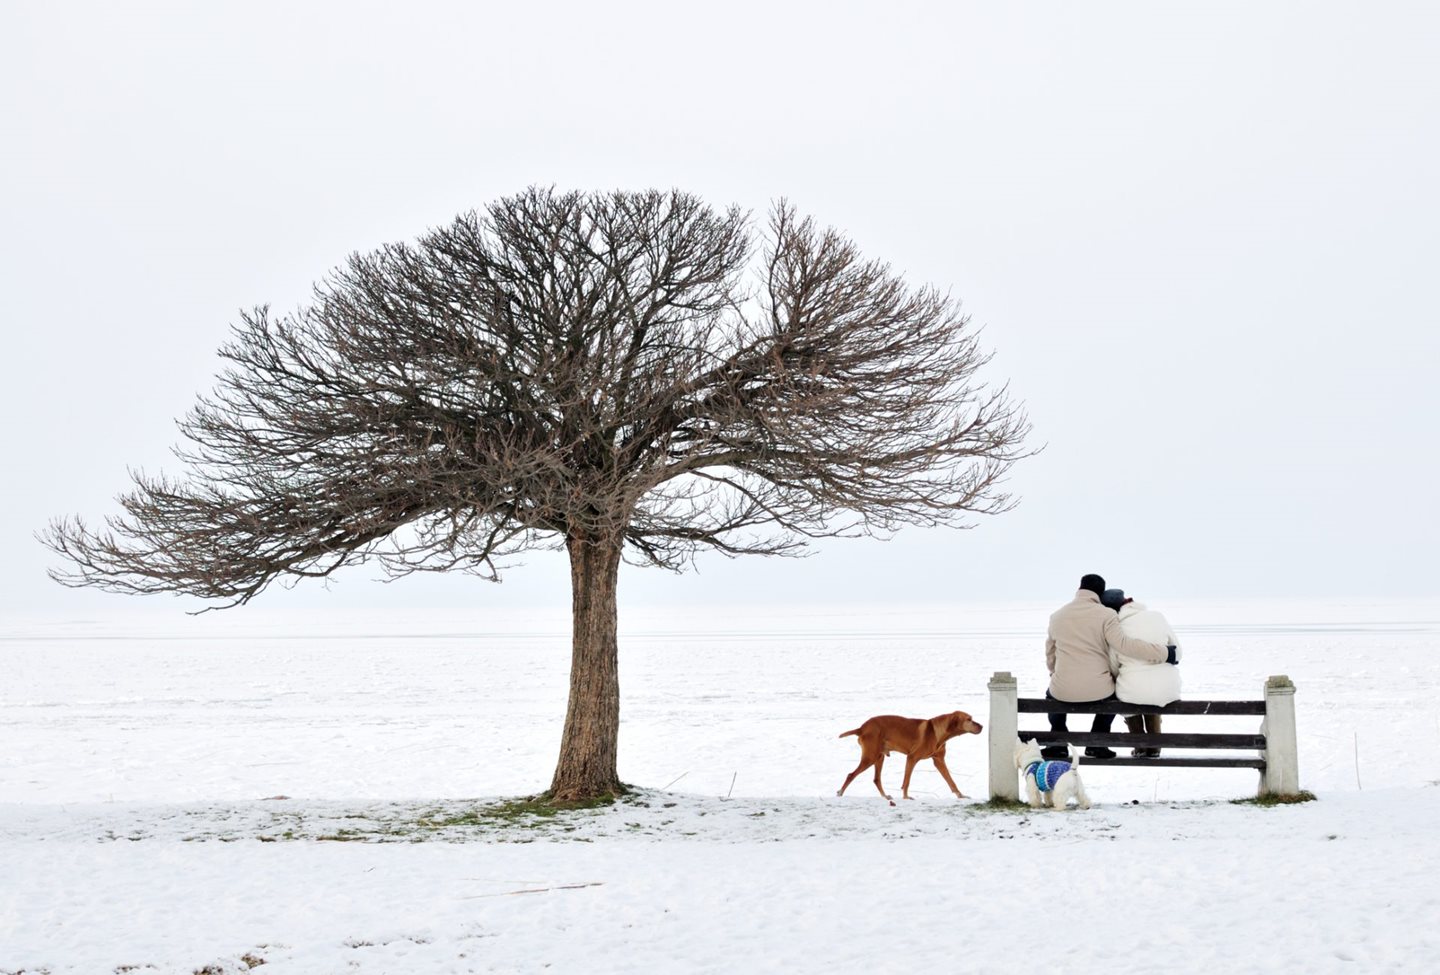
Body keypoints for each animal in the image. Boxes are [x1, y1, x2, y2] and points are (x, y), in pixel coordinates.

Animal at [840, 708, 984, 806]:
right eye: (969, 719)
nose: (982, 726)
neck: (937, 732)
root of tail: (862, 728)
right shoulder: (912, 758)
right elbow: (906, 781)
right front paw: (906, 797)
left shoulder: (939, 761)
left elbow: (951, 781)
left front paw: (961, 796)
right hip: (870, 757)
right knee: (851, 775)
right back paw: (840, 793)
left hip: (879, 757)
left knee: (876, 779)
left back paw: (886, 797)